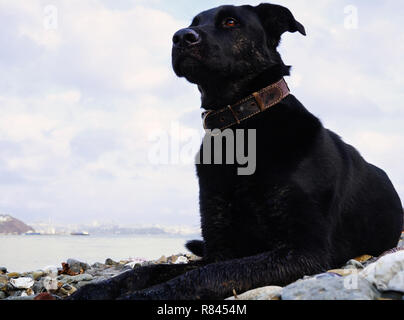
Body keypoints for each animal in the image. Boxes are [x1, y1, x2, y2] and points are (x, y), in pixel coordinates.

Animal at [71, 2, 402, 300]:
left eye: (230, 22)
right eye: (193, 22)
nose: (181, 37)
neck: (239, 129)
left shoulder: (304, 251)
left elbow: (204, 275)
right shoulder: (221, 248)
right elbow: (148, 270)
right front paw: (97, 289)